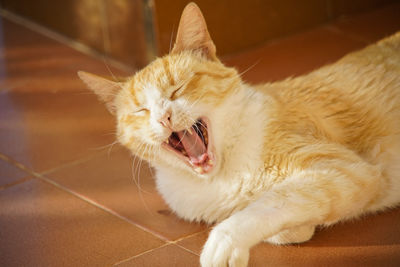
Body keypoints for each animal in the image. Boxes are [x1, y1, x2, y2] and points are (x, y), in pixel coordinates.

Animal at [78, 2, 400, 267]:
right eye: (141, 111)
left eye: (177, 89)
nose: (163, 117)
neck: (220, 177)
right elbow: (285, 222)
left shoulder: (345, 169)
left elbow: (274, 200)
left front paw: (225, 240)